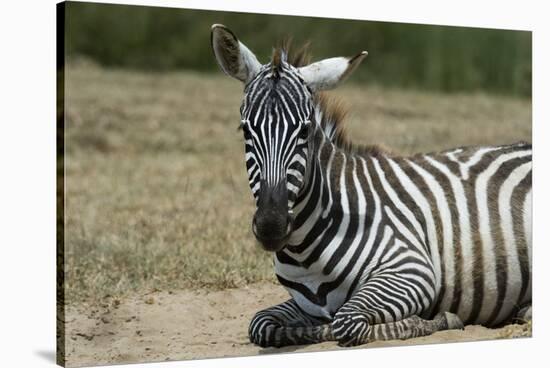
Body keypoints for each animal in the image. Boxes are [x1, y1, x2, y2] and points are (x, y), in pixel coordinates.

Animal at [210, 24, 532, 346]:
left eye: (305, 130)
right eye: (245, 129)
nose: (271, 226)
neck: (305, 251)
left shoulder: (412, 269)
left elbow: (346, 322)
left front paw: (439, 319)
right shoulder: (305, 303)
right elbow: (261, 324)